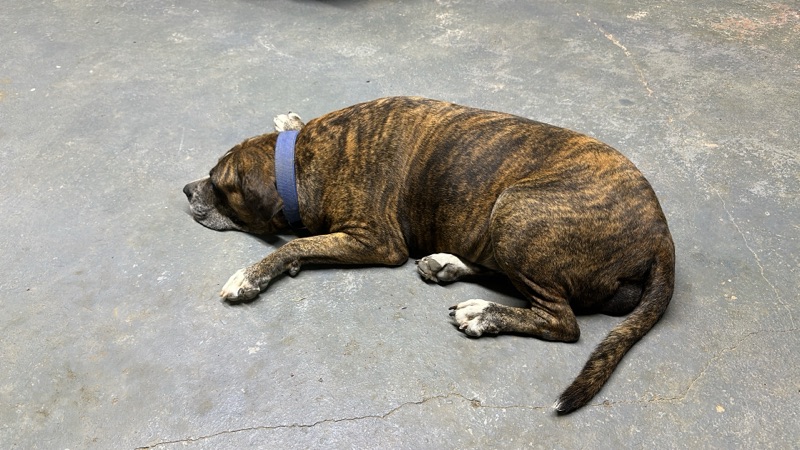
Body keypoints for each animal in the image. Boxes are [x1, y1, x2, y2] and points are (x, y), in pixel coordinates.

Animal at [183, 96, 675, 413]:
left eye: (217, 184)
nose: (187, 190)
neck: (300, 161)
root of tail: (662, 235)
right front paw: (289, 119)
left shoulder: (376, 241)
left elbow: (295, 244)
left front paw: (250, 276)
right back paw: (448, 265)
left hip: (515, 210)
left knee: (562, 322)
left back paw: (484, 314)